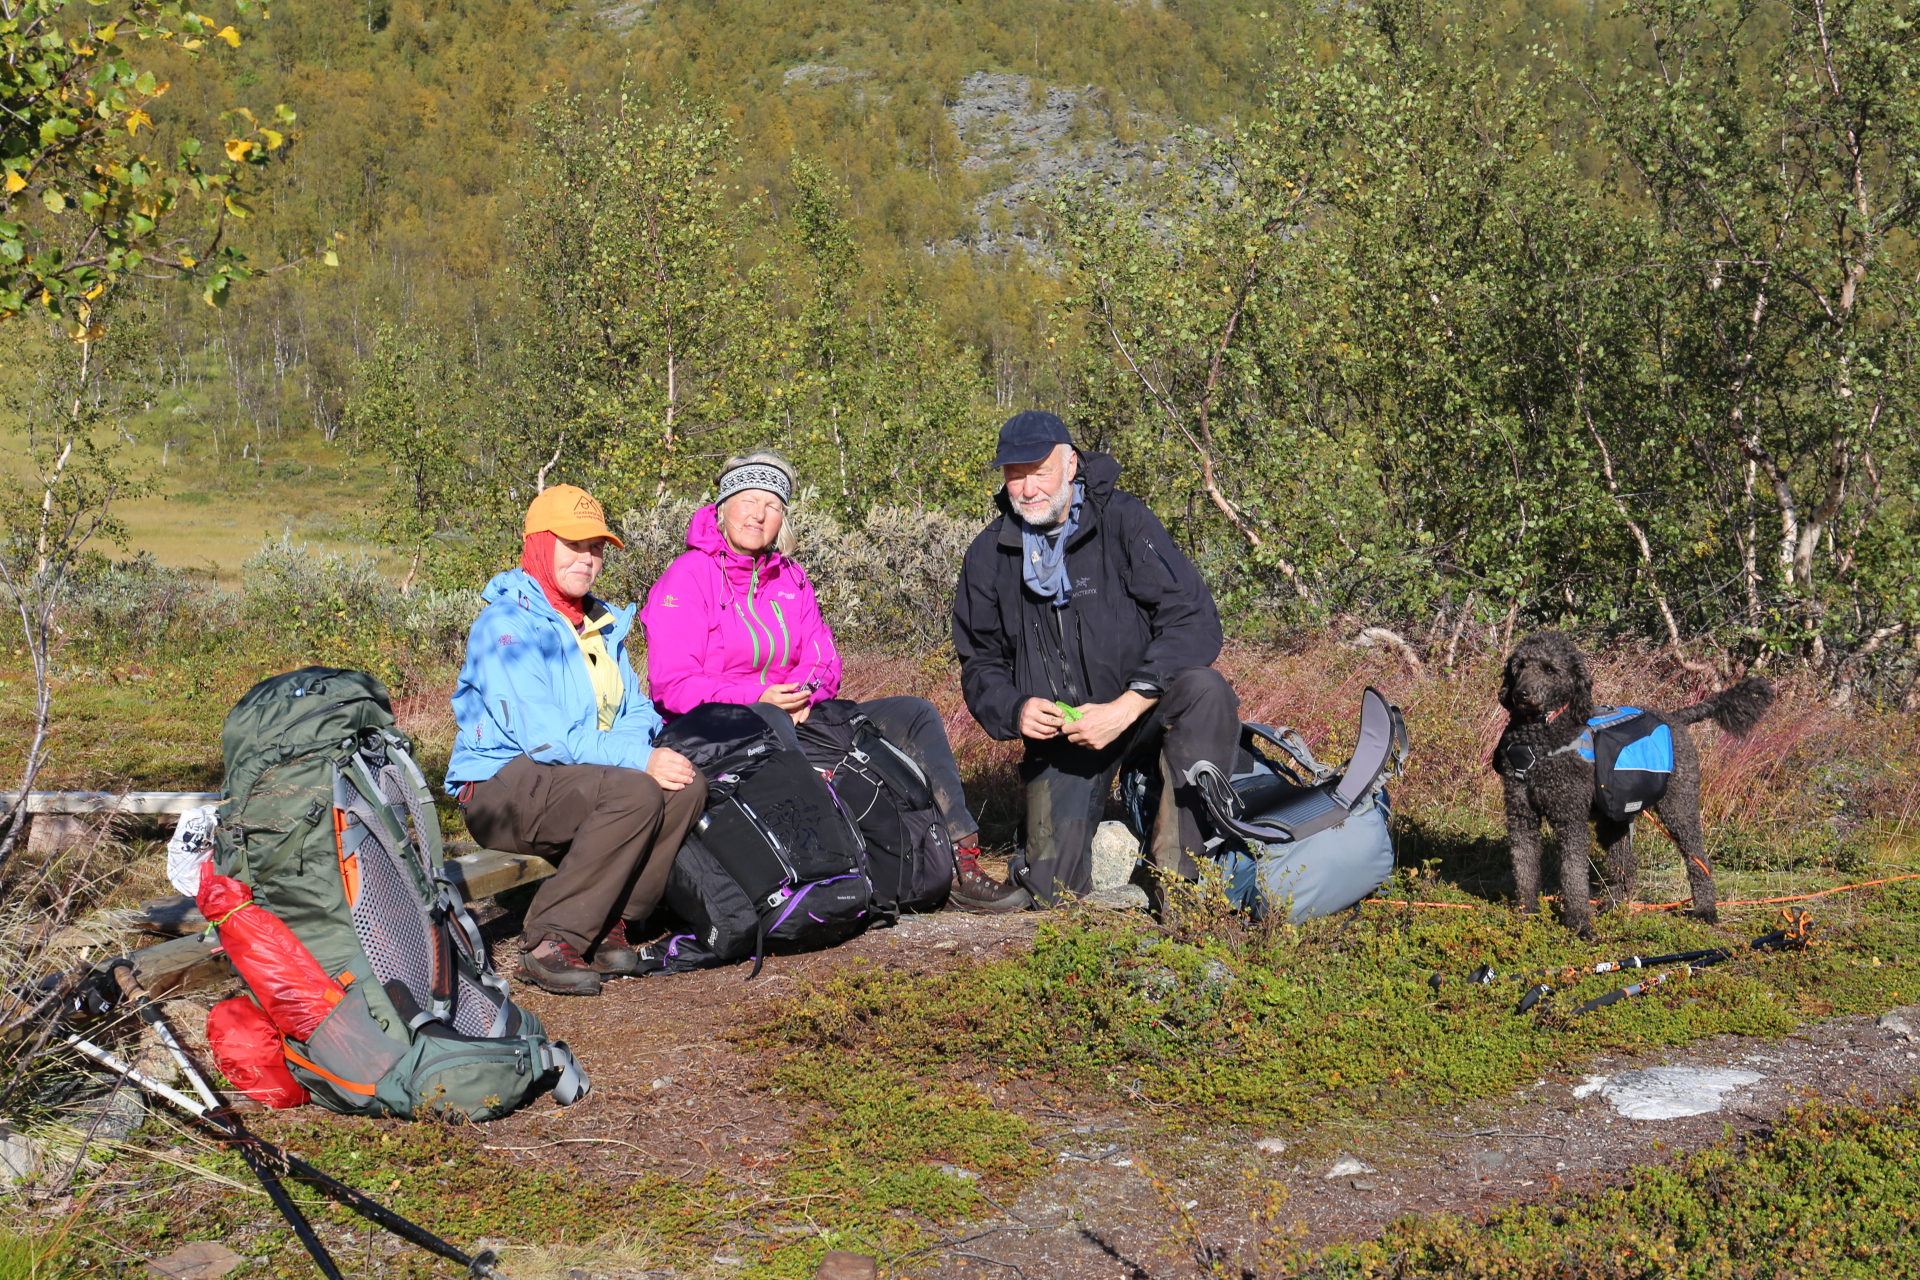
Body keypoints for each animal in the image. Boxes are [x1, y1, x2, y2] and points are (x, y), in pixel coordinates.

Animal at [1489, 637, 1774, 936]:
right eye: (1520, 665)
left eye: (1549, 669)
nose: (1521, 694)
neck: (1537, 741)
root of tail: (1674, 717)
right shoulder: (1522, 818)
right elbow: (1524, 868)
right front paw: (1526, 916)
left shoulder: (1570, 818)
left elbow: (1573, 874)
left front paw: (1579, 925)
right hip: (1613, 818)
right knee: (1626, 864)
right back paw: (1614, 906)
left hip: (1678, 806)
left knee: (1698, 859)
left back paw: (1706, 910)